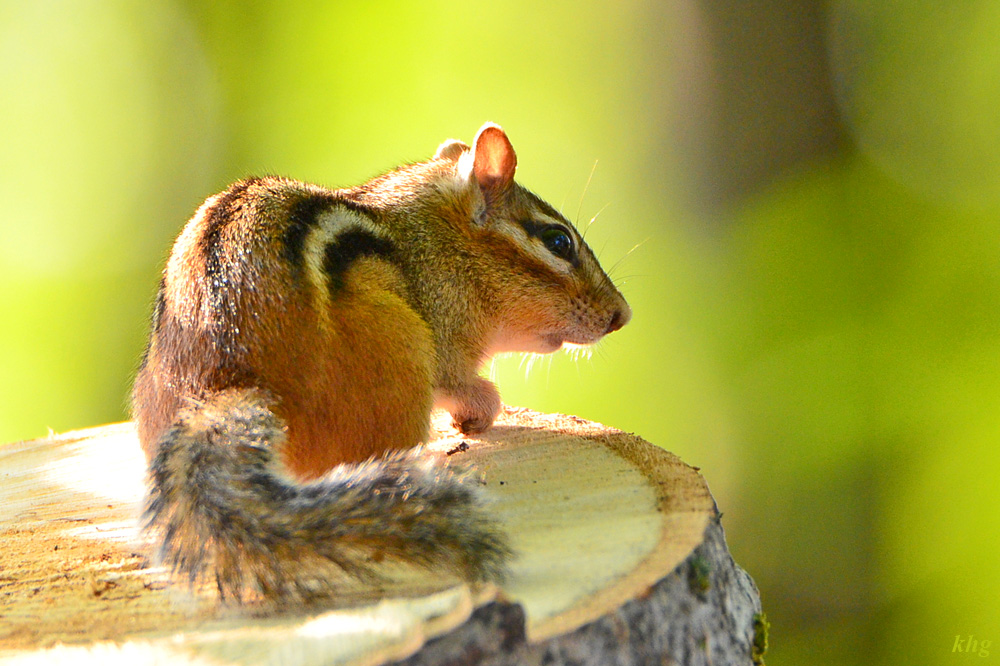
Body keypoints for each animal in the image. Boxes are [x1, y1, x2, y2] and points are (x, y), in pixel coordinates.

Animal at [133, 122, 631, 601]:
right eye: (558, 241)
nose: (621, 315)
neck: (437, 238)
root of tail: (230, 387)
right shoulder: (444, 335)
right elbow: (461, 385)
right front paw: (480, 412)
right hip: (400, 350)